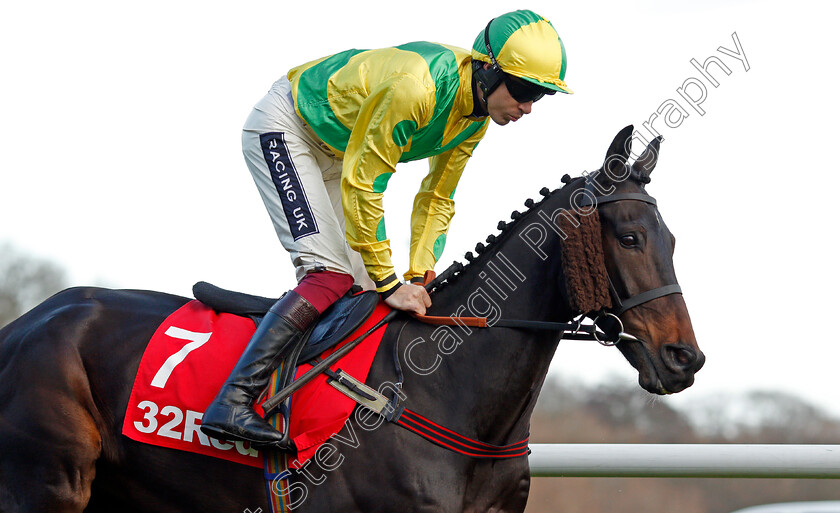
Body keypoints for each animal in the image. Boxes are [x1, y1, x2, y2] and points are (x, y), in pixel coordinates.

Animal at [0, 125, 704, 512]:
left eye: (673, 239)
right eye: (630, 237)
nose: (685, 358)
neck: (442, 391)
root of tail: (25, 324)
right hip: (48, 483)